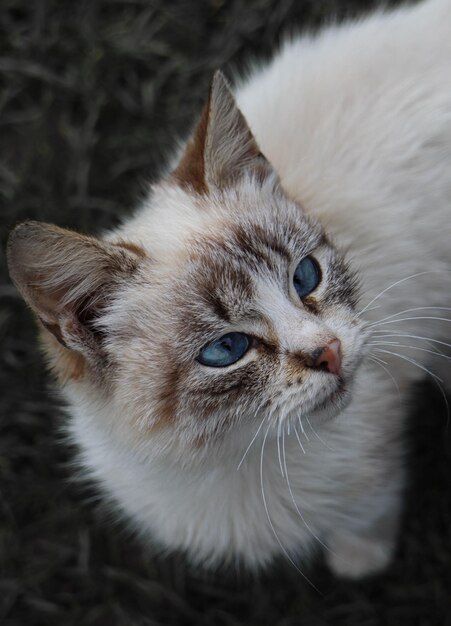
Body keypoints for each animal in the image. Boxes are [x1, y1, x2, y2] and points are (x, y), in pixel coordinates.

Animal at [7, 0, 451, 580]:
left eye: (305, 277)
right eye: (226, 349)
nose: (330, 352)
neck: (239, 463)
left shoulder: (381, 433)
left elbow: (372, 510)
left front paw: (360, 562)